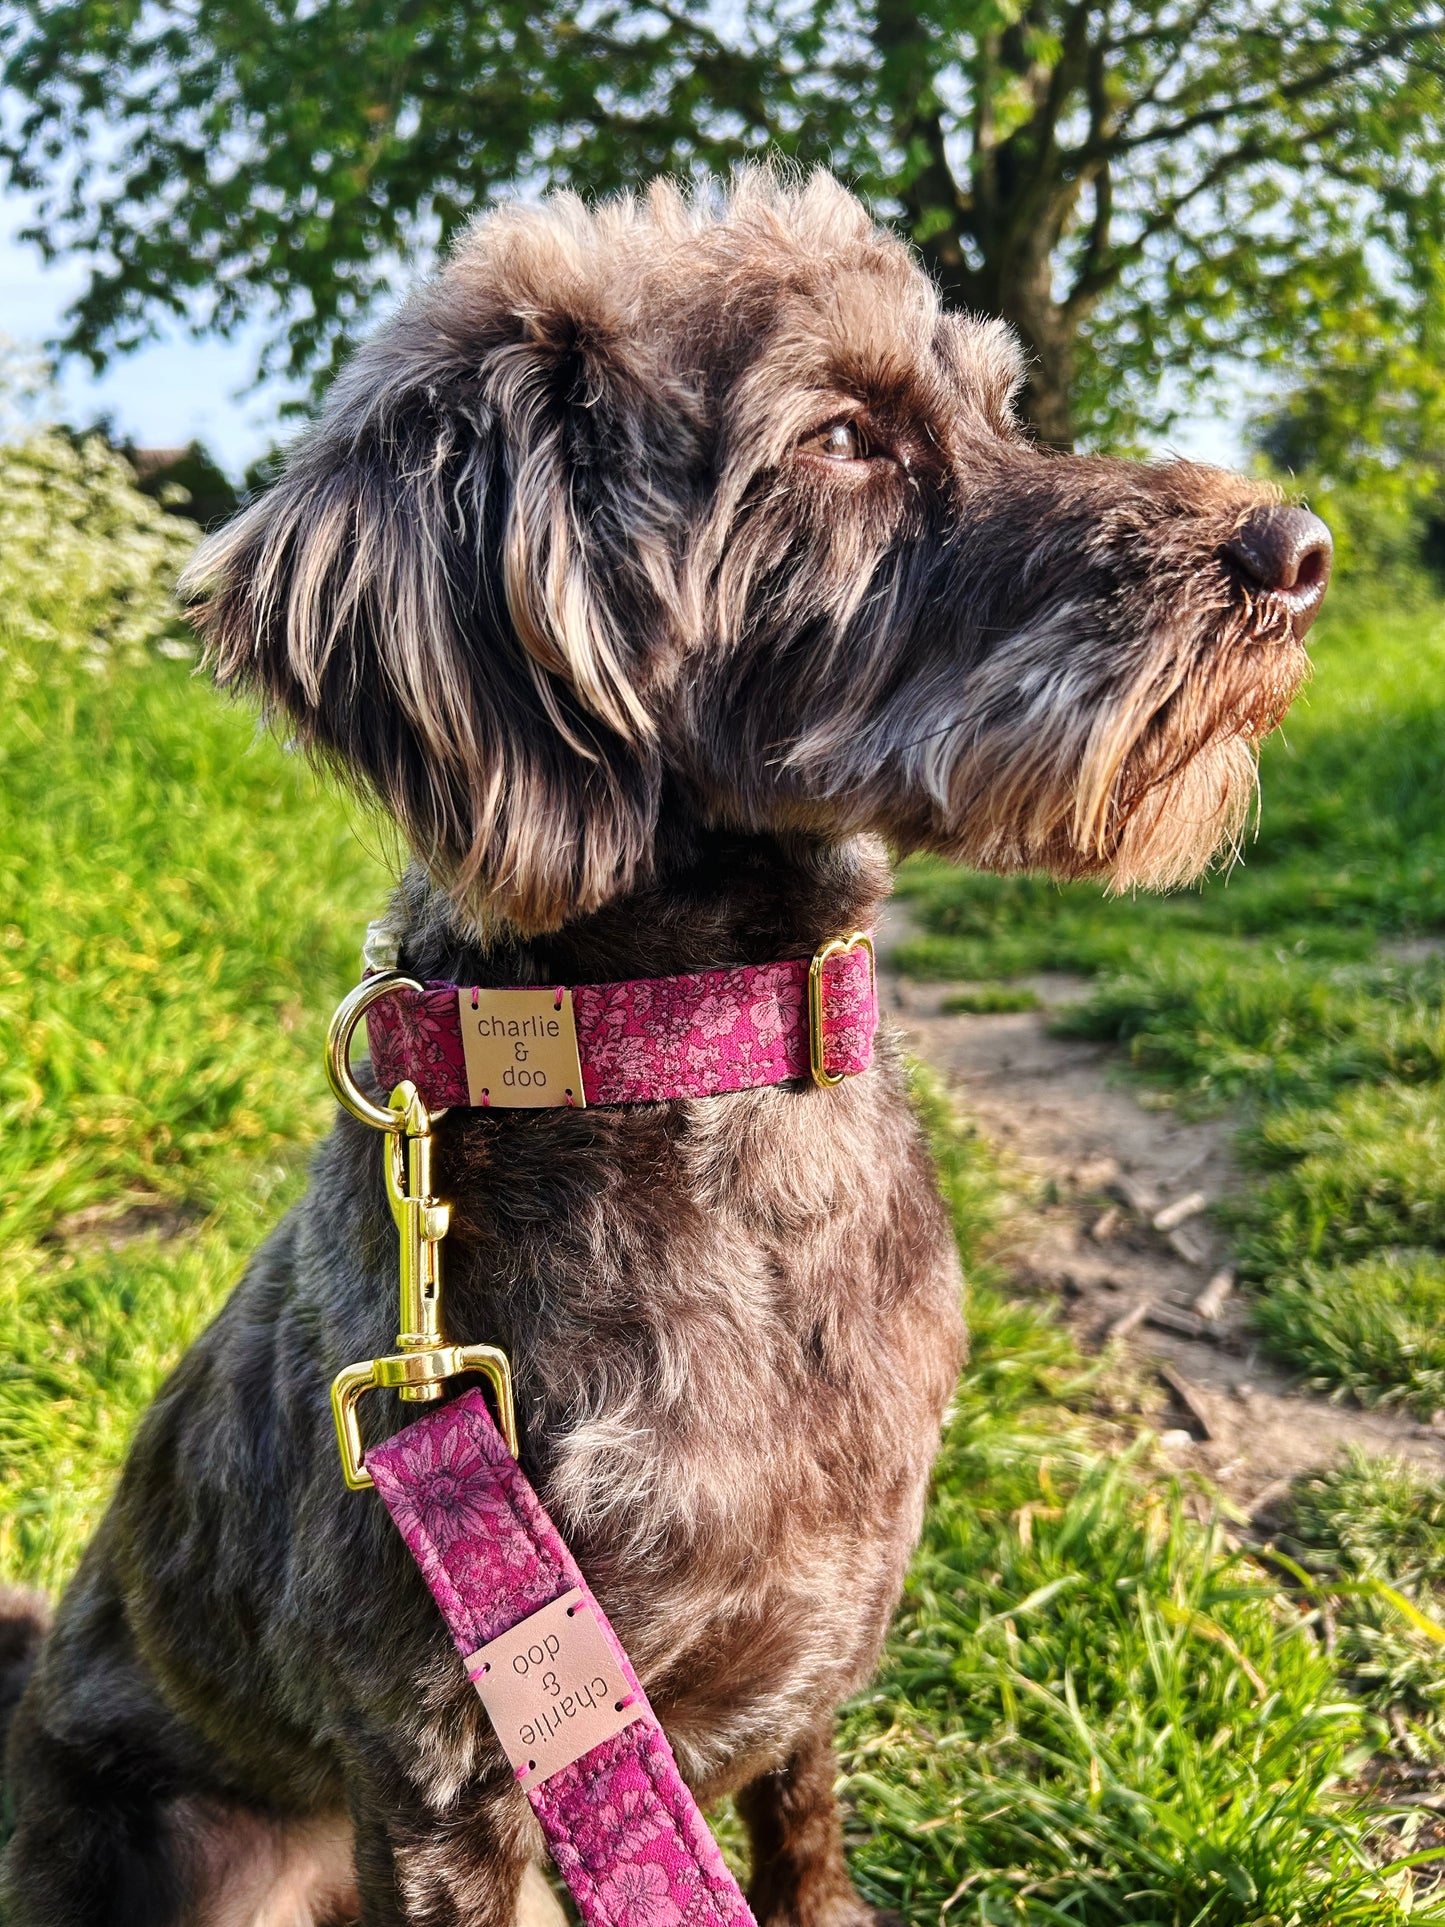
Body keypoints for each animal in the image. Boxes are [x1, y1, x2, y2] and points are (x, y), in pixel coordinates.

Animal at [2, 169, 1333, 1927]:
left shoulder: (795, 1676)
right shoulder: (453, 1753)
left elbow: (805, 1835)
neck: (712, 1069)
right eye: (842, 435)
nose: (1299, 549)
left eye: (997, 405)